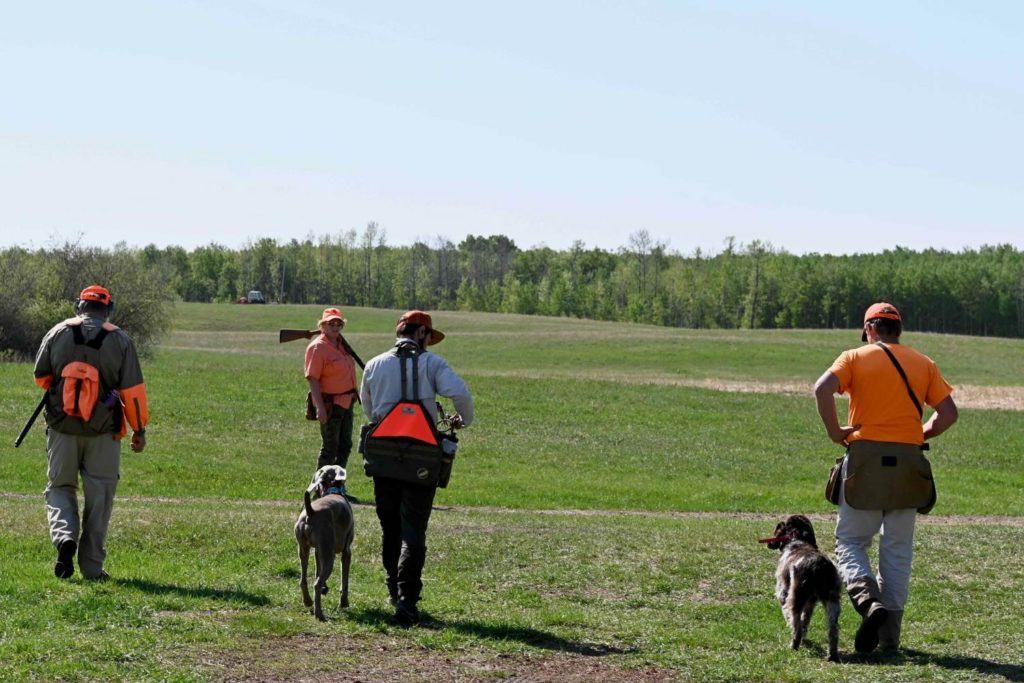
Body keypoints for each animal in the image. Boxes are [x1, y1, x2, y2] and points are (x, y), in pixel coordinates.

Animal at [296, 464, 356, 618]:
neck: (332, 490)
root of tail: (311, 512)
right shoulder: (346, 551)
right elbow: (345, 580)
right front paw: (344, 602)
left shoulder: (318, 551)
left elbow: (318, 569)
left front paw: (325, 588)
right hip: (330, 555)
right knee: (316, 583)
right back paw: (319, 614)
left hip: (304, 548)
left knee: (303, 580)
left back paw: (308, 601)